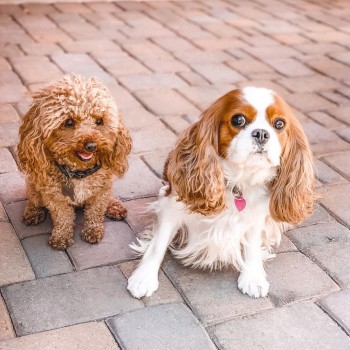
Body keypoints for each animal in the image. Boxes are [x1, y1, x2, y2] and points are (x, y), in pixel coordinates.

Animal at [17, 75, 131, 250]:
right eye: (69, 122)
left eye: (99, 121)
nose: (91, 145)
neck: (79, 172)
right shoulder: (55, 196)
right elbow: (62, 216)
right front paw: (61, 238)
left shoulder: (101, 191)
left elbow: (95, 211)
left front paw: (93, 231)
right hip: (33, 183)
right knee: (33, 198)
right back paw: (33, 212)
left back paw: (114, 206)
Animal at [127, 87, 316, 298]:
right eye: (238, 119)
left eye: (279, 124)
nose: (261, 133)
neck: (238, 181)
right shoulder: (172, 207)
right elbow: (158, 244)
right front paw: (144, 277)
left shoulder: (257, 216)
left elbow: (252, 245)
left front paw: (253, 276)